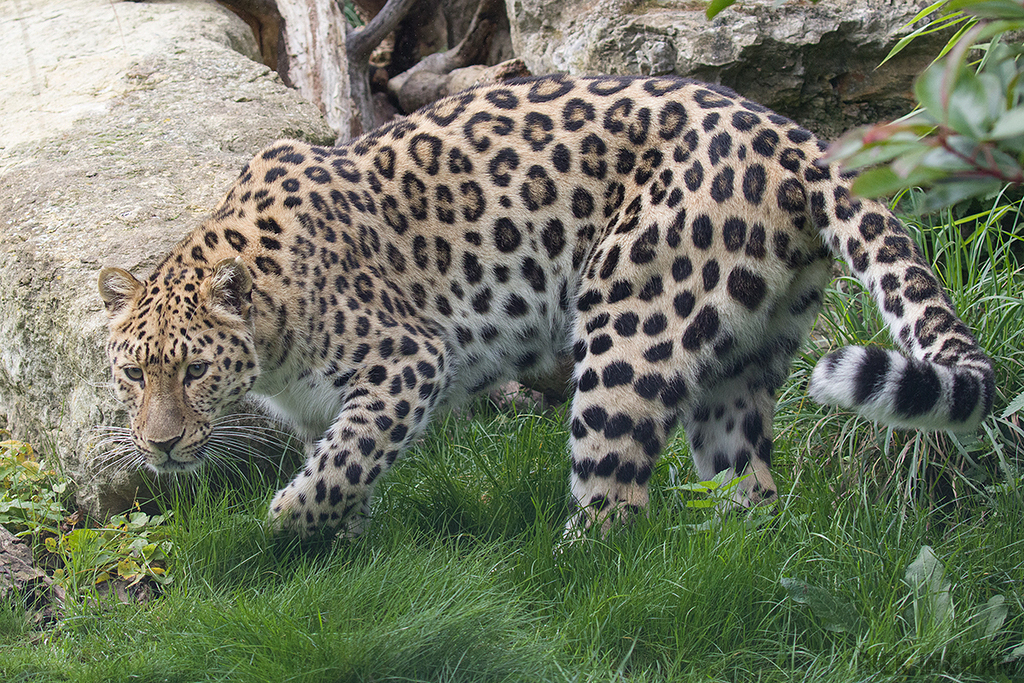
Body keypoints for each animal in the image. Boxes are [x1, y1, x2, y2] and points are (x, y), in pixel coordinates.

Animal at [98, 75, 994, 538]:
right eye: (133, 375)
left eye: (195, 369)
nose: (161, 445)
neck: (271, 335)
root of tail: (795, 134)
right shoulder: (328, 404)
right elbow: (344, 469)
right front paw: (335, 549)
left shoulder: (405, 361)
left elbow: (343, 462)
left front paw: (284, 518)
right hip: (743, 355)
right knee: (751, 488)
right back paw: (732, 553)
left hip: (631, 321)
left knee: (614, 502)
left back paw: (571, 566)